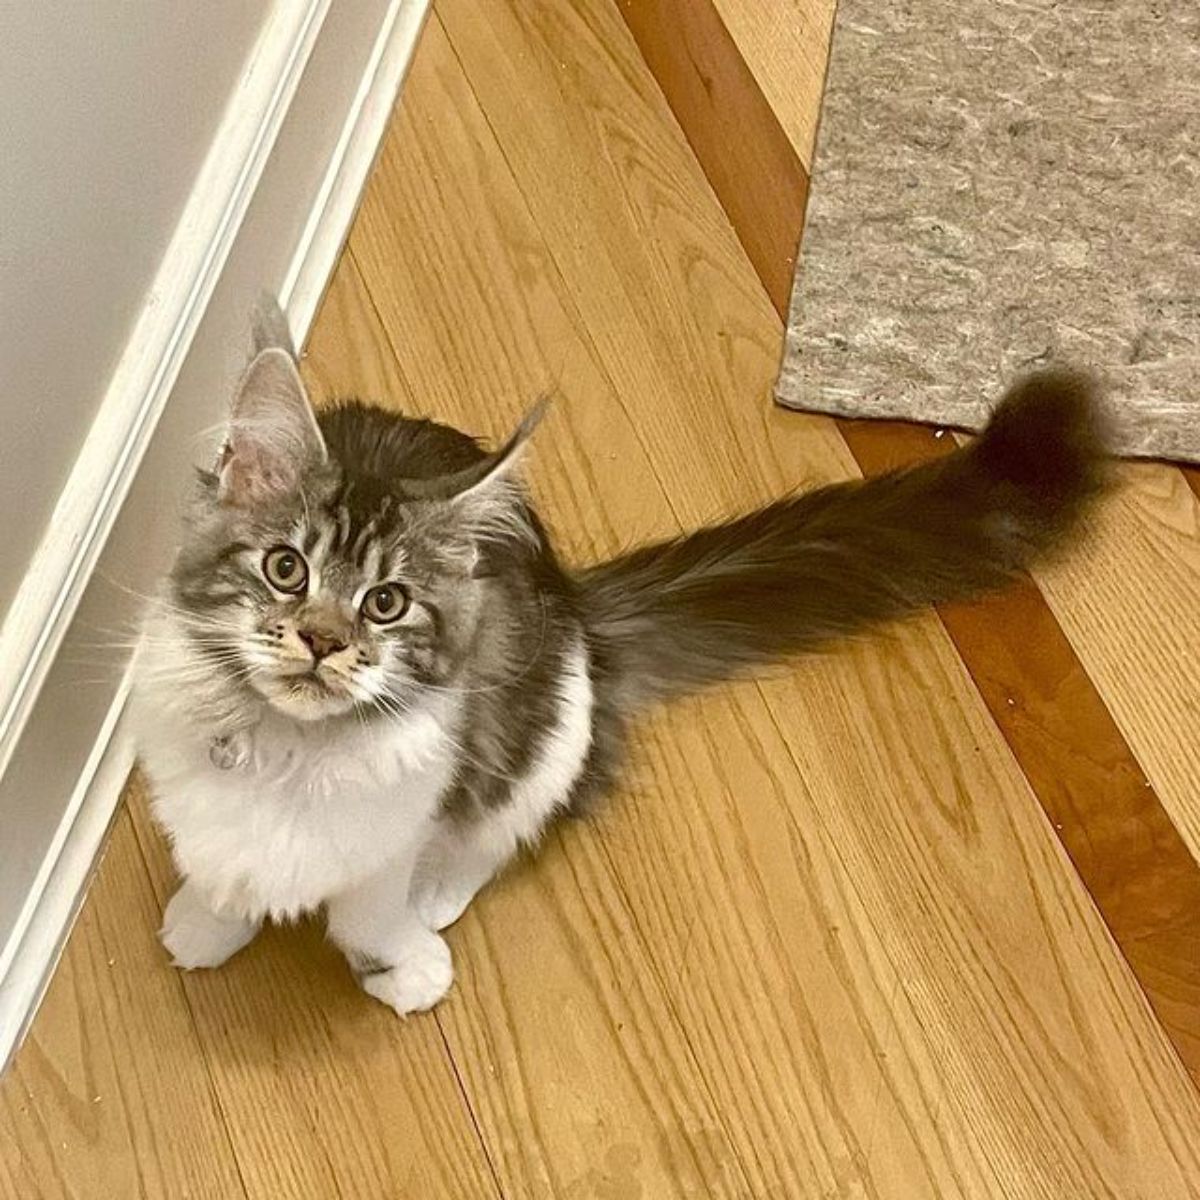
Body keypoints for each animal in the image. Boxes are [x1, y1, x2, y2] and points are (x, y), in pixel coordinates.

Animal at [126, 300, 1108, 1012]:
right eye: (285, 568)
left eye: (386, 603)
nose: (324, 641)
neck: (289, 751)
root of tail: (579, 606)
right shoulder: (191, 787)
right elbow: (217, 867)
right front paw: (208, 923)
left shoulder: (407, 812)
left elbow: (370, 913)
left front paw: (405, 968)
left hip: (551, 724)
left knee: (513, 818)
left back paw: (440, 893)